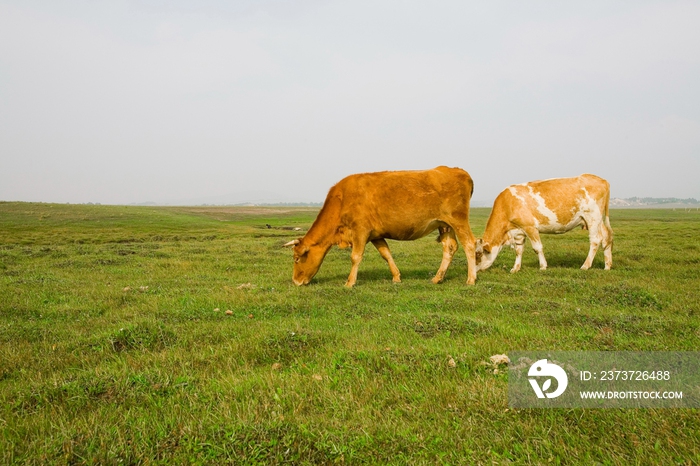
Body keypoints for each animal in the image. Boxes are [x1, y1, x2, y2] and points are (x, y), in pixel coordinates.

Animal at [284, 166, 476, 286]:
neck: (342, 199)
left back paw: (471, 279)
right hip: (444, 224)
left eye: (296, 258)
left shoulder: (360, 231)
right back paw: (438, 278)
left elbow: (355, 257)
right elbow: (386, 254)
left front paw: (350, 282)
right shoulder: (376, 235)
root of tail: (456, 170)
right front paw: (396, 277)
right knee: (449, 248)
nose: (295, 281)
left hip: (458, 220)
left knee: (469, 244)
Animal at [476, 174, 612, 274]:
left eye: (478, 255)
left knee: (595, 240)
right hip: (598, 220)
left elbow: (537, 248)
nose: (475, 272)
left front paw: (542, 266)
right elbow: (519, 250)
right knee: (606, 237)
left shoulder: (530, 227)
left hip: (592, 217)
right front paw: (515, 268)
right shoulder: (519, 232)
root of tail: (602, 180)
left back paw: (585, 265)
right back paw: (607, 266)